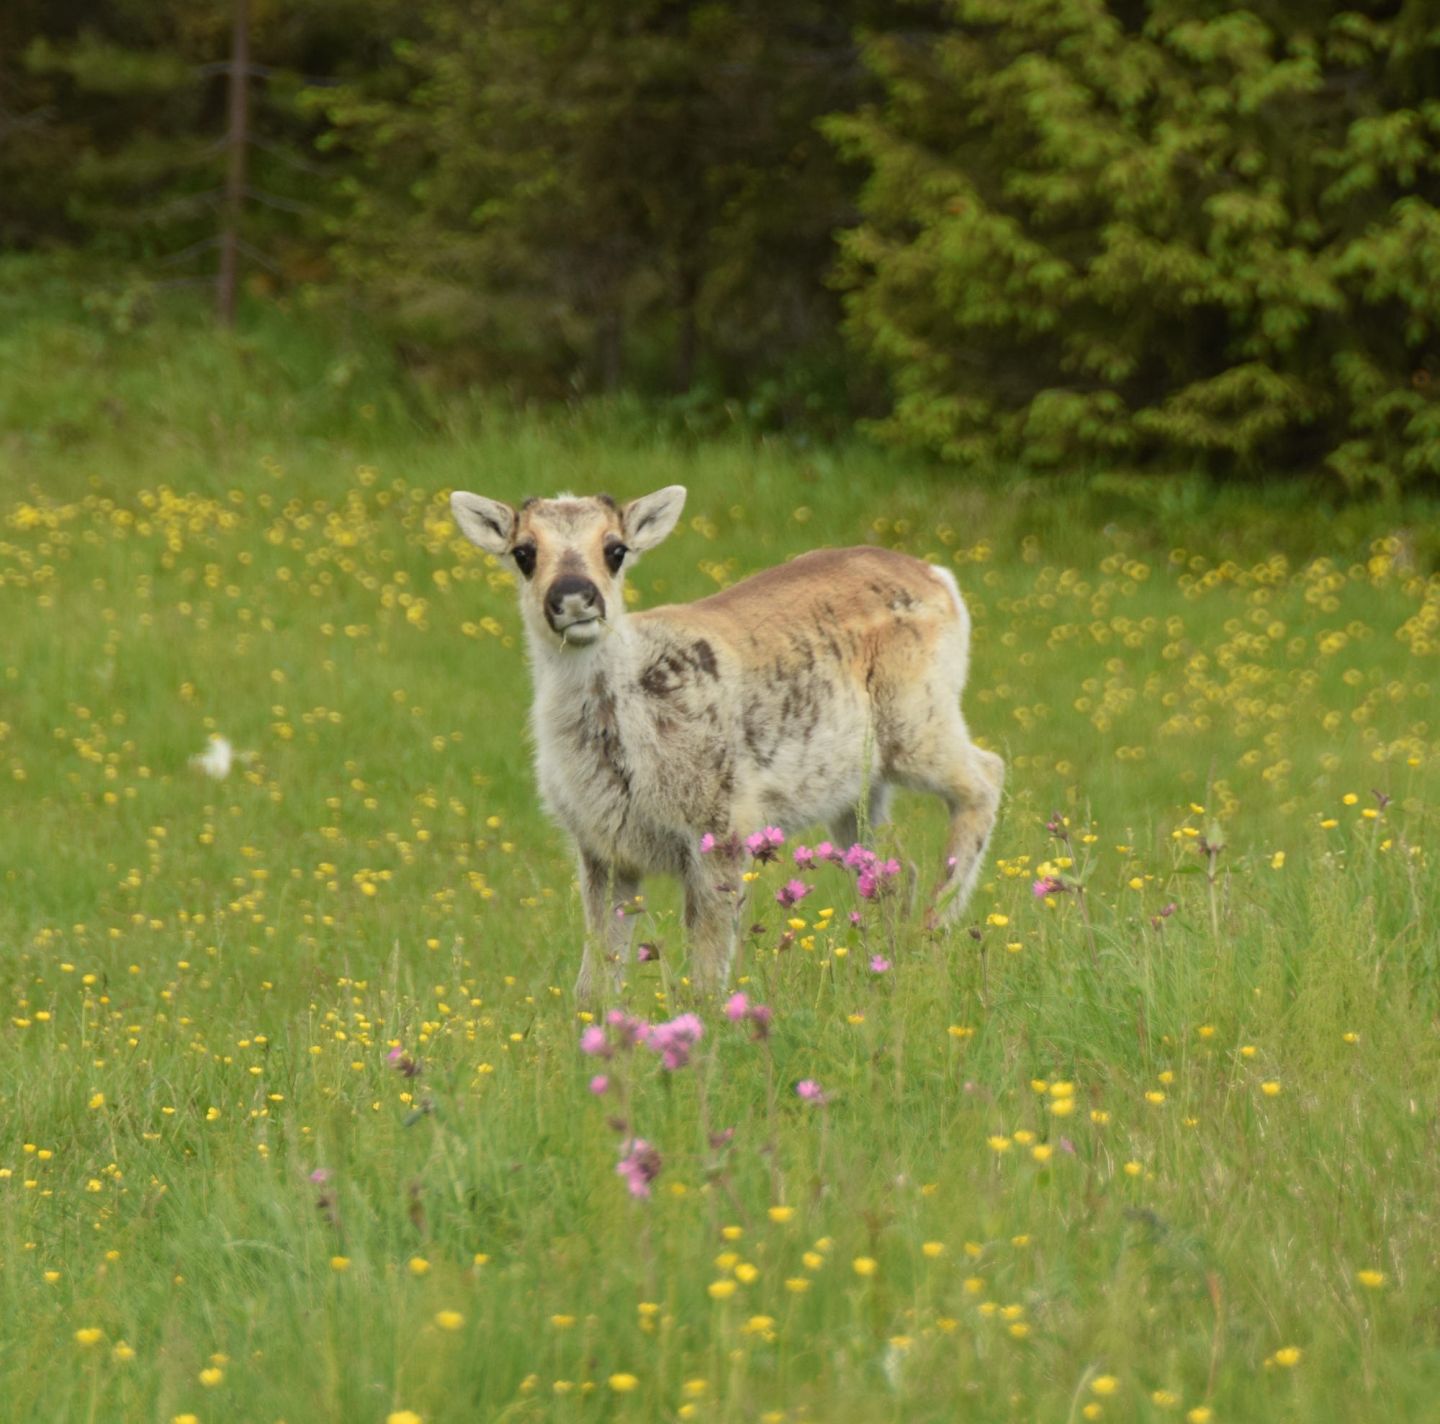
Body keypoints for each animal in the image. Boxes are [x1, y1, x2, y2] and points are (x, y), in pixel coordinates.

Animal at [449, 483, 1002, 996]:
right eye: (524, 552)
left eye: (615, 549)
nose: (574, 595)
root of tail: (943, 579)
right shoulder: (600, 844)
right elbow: (595, 979)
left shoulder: (721, 819)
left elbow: (706, 965)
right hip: (855, 786)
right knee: (893, 868)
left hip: (918, 718)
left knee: (986, 773)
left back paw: (934, 929)